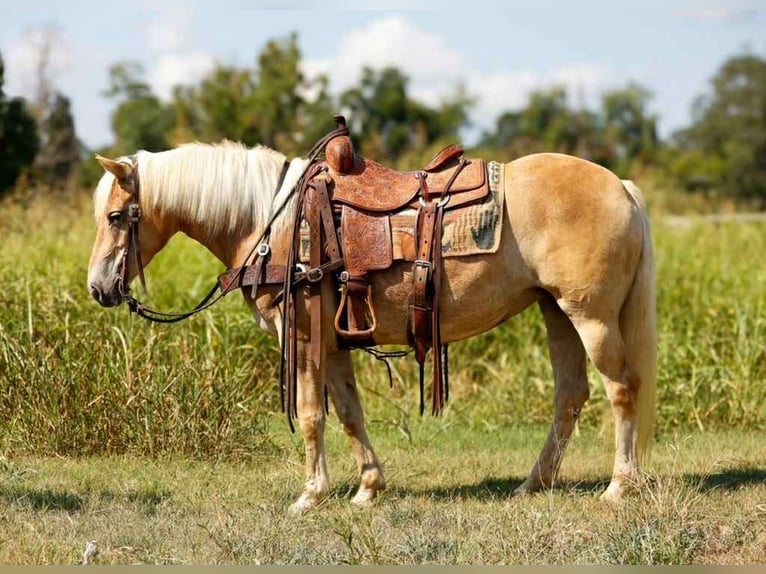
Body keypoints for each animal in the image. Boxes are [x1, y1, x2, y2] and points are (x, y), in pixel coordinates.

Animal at [87, 140, 656, 513]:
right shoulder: (334, 341)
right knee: (570, 396)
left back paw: (619, 486)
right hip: (555, 311)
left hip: (590, 317)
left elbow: (311, 415)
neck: (273, 222)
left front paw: (310, 496)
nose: (97, 287)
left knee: (621, 389)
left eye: (116, 216)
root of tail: (623, 188)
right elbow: (348, 414)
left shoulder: (303, 336)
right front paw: (367, 487)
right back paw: (533, 484)